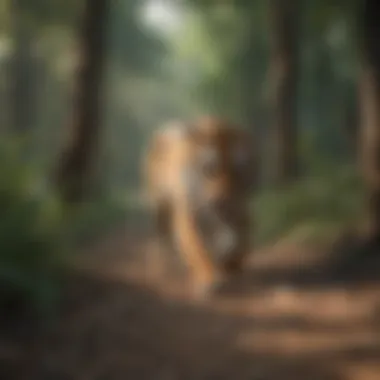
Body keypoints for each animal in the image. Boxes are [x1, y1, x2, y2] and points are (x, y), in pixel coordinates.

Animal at [143, 116, 258, 296]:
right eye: (210, 169)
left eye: (237, 172)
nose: (224, 200)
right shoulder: (189, 215)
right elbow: (198, 248)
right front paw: (209, 280)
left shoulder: (239, 210)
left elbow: (240, 241)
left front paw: (230, 264)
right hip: (159, 207)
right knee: (160, 238)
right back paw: (162, 268)